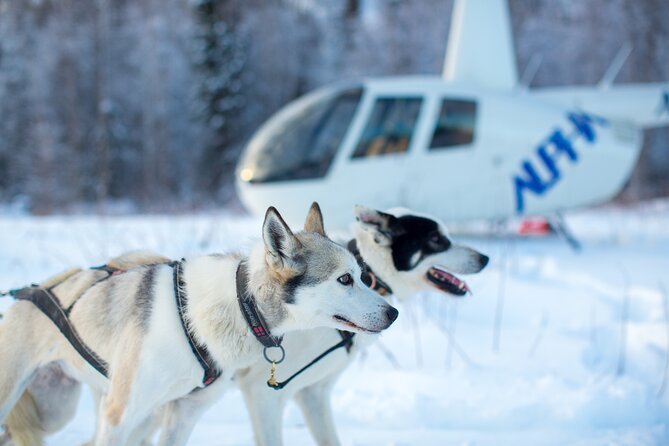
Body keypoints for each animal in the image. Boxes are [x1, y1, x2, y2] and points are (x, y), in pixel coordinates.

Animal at [0, 205, 396, 446]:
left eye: (363, 275)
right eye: (344, 280)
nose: (393, 313)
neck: (239, 305)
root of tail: (32, 291)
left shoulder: (181, 416)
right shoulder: (118, 416)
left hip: (60, 408)